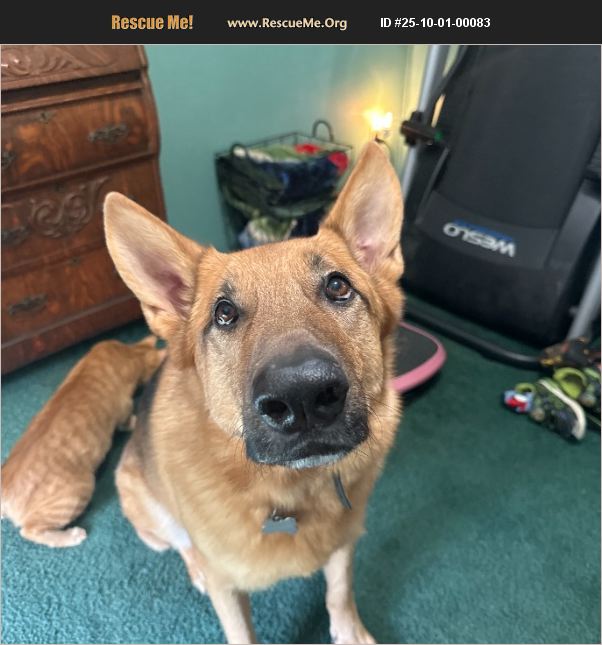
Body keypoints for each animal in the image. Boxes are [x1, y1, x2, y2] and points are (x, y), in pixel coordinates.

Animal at [1, 335, 165, 548]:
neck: (126, 353)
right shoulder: (124, 409)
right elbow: (127, 421)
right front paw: (135, 421)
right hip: (79, 489)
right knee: (30, 531)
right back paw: (71, 536)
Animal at [103, 141, 404, 643]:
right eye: (224, 313)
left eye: (338, 286)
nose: (302, 397)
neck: (290, 490)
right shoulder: (227, 586)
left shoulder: (344, 540)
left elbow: (339, 590)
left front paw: (349, 630)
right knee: (182, 544)